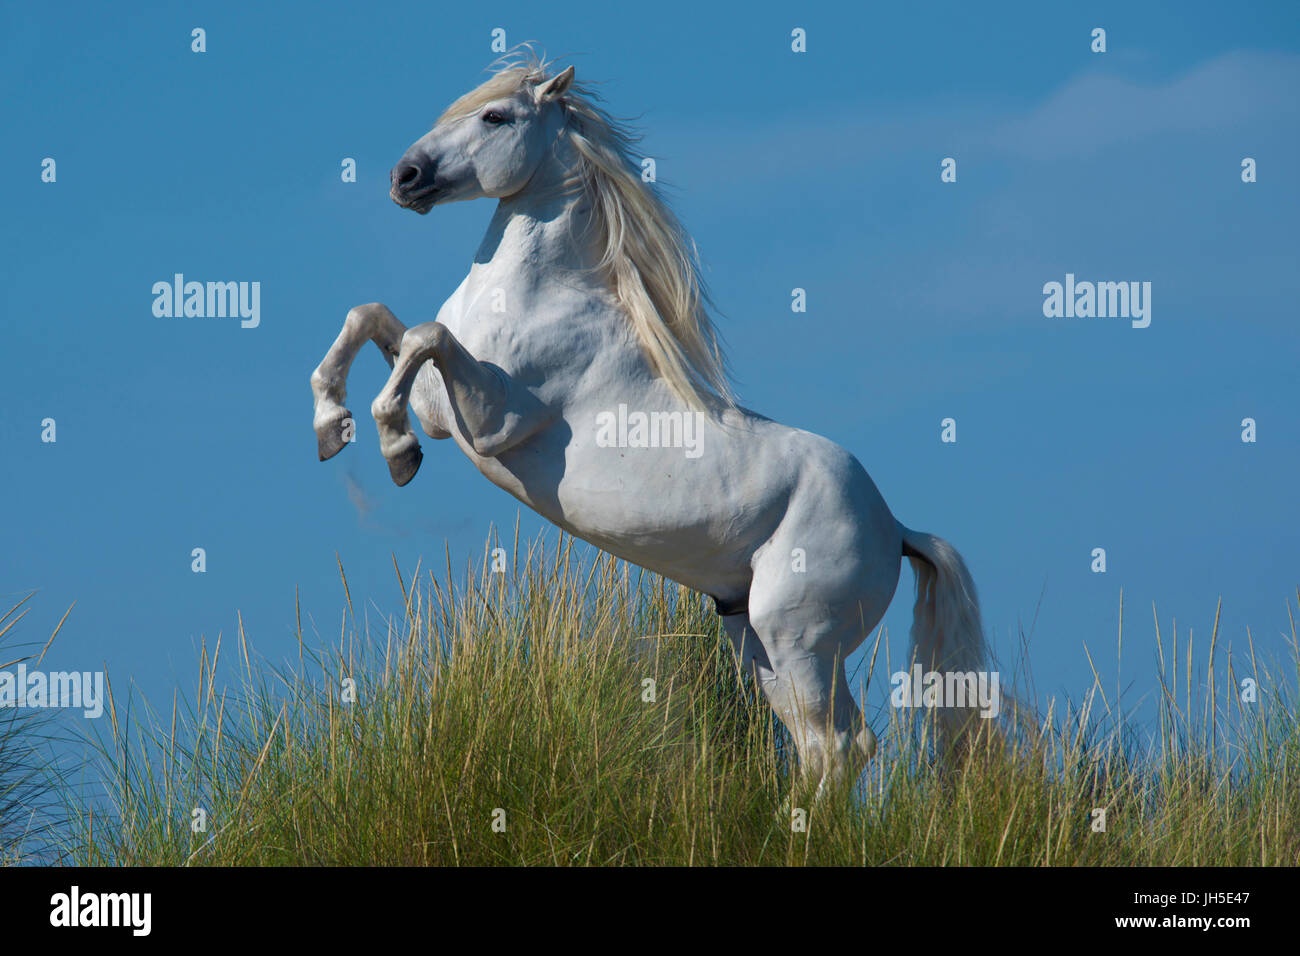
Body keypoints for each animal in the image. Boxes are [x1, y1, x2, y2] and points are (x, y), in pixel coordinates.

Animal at [312, 48, 982, 790]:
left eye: (495, 116)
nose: (404, 177)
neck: (537, 295)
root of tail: (896, 529)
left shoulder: (492, 422)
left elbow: (423, 338)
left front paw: (394, 449)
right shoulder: (441, 404)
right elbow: (377, 320)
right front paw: (331, 425)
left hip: (799, 636)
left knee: (835, 744)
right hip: (753, 638)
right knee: (828, 744)